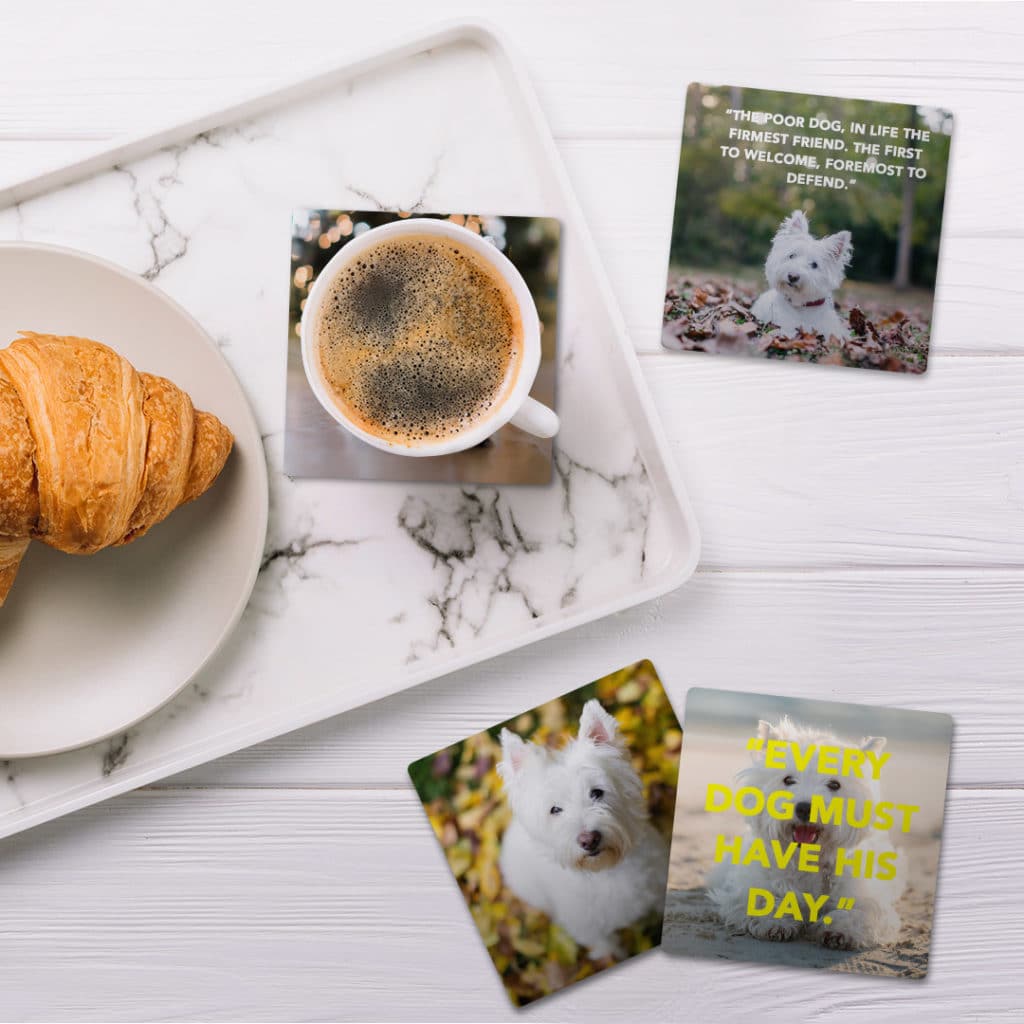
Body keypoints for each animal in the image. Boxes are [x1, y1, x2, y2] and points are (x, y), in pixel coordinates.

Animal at [497, 700, 671, 954]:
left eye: (597, 792)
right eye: (555, 809)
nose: (589, 840)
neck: (605, 871)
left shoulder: (659, 889)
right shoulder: (592, 931)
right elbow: (611, 951)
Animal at [708, 716, 909, 946]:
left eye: (834, 784)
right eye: (788, 779)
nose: (805, 808)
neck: (807, 859)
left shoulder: (867, 896)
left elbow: (860, 911)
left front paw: (840, 930)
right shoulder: (749, 885)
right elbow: (761, 898)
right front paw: (776, 922)